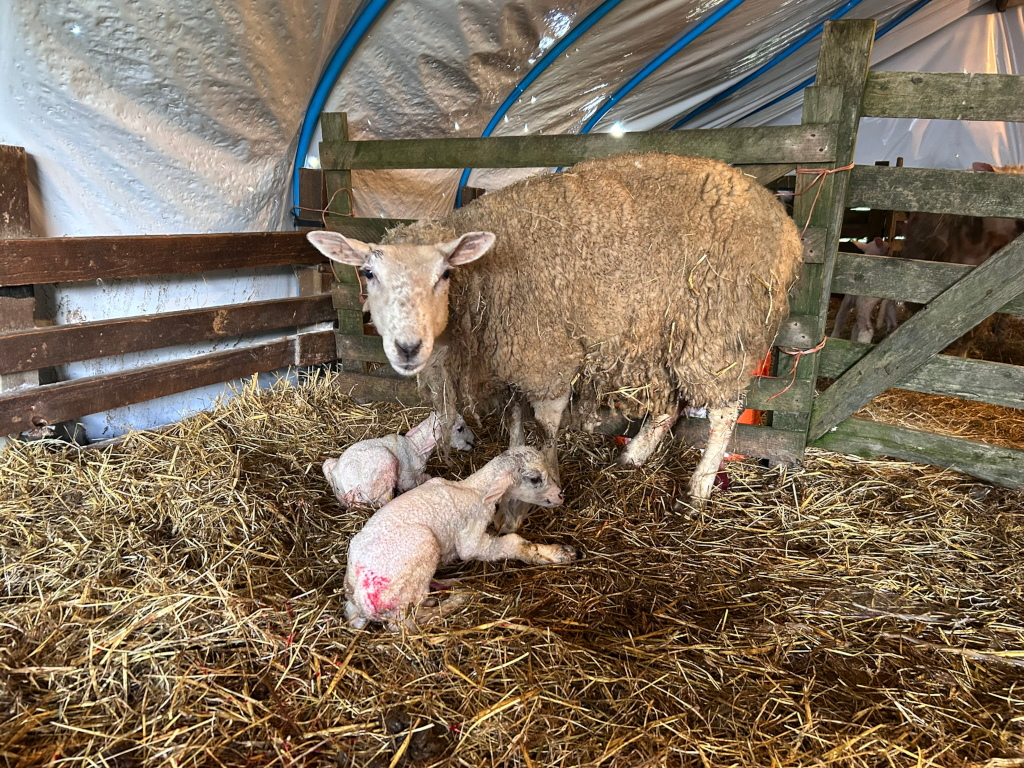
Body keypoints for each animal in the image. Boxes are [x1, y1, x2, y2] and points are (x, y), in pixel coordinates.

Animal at [322, 412, 474, 508]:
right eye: (460, 429)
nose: (474, 441)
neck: (415, 446)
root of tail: (339, 480)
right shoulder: (406, 480)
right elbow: (421, 479)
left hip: (329, 465)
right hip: (385, 463)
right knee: (384, 500)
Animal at [343, 445, 575, 631]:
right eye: (535, 479)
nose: (561, 495)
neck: (474, 489)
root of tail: (362, 600)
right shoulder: (470, 539)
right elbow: (512, 543)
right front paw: (557, 553)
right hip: (422, 549)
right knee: (410, 623)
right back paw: (459, 598)